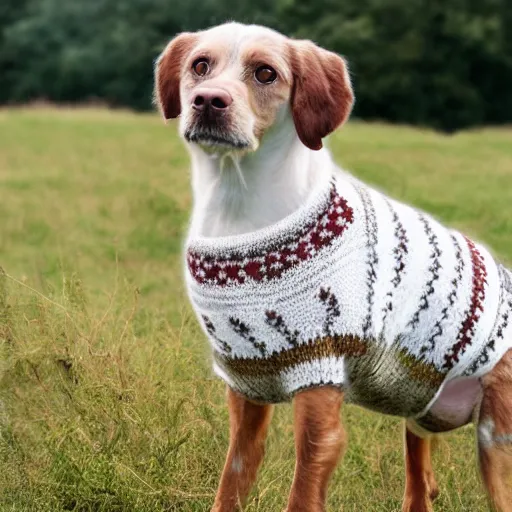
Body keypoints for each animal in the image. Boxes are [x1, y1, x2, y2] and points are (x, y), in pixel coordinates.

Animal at [153, 22, 512, 510]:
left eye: (265, 72)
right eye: (200, 65)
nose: (208, 100)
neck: (239, 210)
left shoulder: (318, 382)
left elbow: (303, 491)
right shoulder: (245, 388)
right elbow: (230, 486)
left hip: (496, 443)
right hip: (419, 418)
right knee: (420, 485)